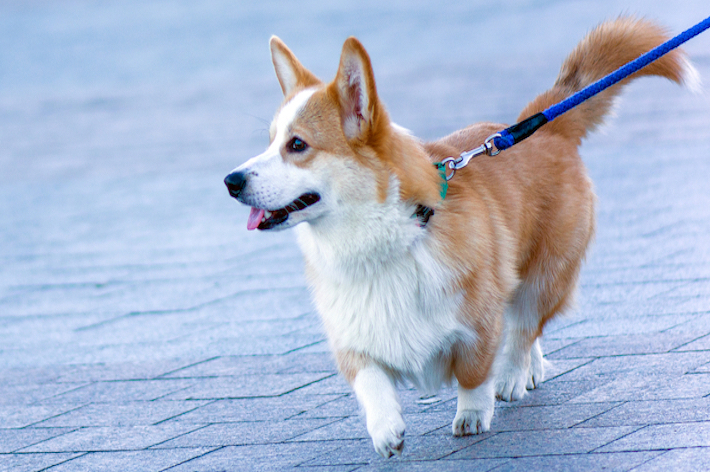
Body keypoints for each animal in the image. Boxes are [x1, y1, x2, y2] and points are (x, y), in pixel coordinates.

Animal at [224, 18, 696, 458]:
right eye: (270, 142)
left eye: (297, 145)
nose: (230, 181)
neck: (377, 244)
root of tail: (544, 127)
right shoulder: (354, 337)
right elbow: (370, 381)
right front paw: (386, 431)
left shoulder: (477, 321)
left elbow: (475, 372)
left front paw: (472, 413)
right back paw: (532, 368)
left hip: (545, 275)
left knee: (524, 325)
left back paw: (514, 374)